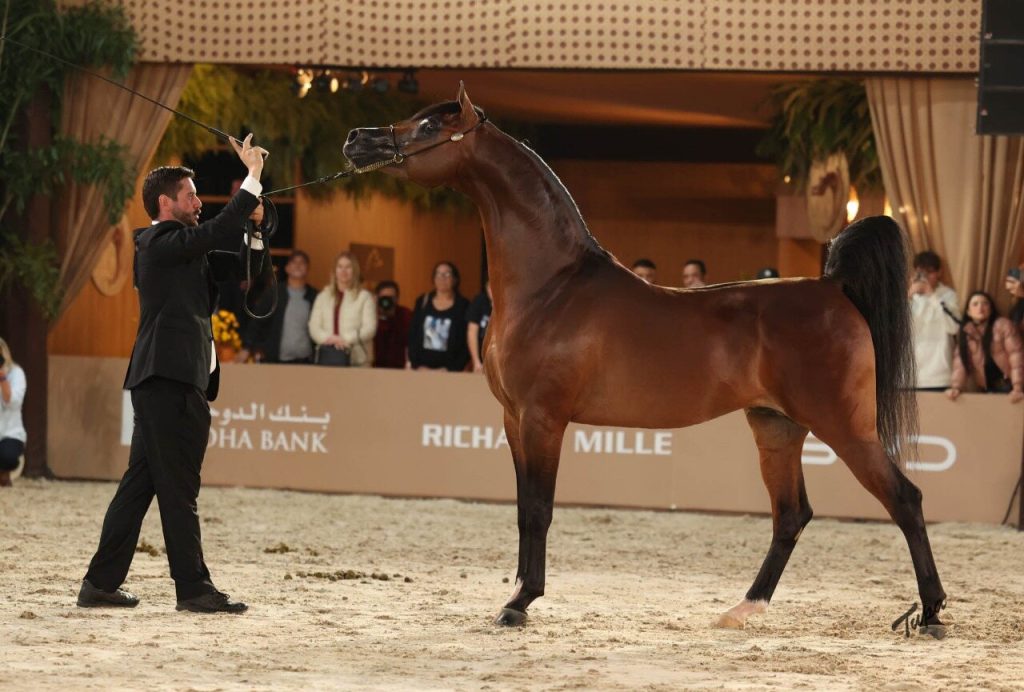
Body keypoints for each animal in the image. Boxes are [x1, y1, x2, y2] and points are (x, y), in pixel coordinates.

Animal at [342, 84, 947, 637]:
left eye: (428, 126)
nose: (356, 140)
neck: (552, 287)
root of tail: (832, 287)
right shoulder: (512, 419)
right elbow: (521, 508)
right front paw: (517, 593)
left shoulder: (543, 418)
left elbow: (539, 508)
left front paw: (520, 603)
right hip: (776, 427)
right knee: (791, 514)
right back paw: (743, 608)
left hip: (844, 426)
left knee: (905, 499)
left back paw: (932, 613)